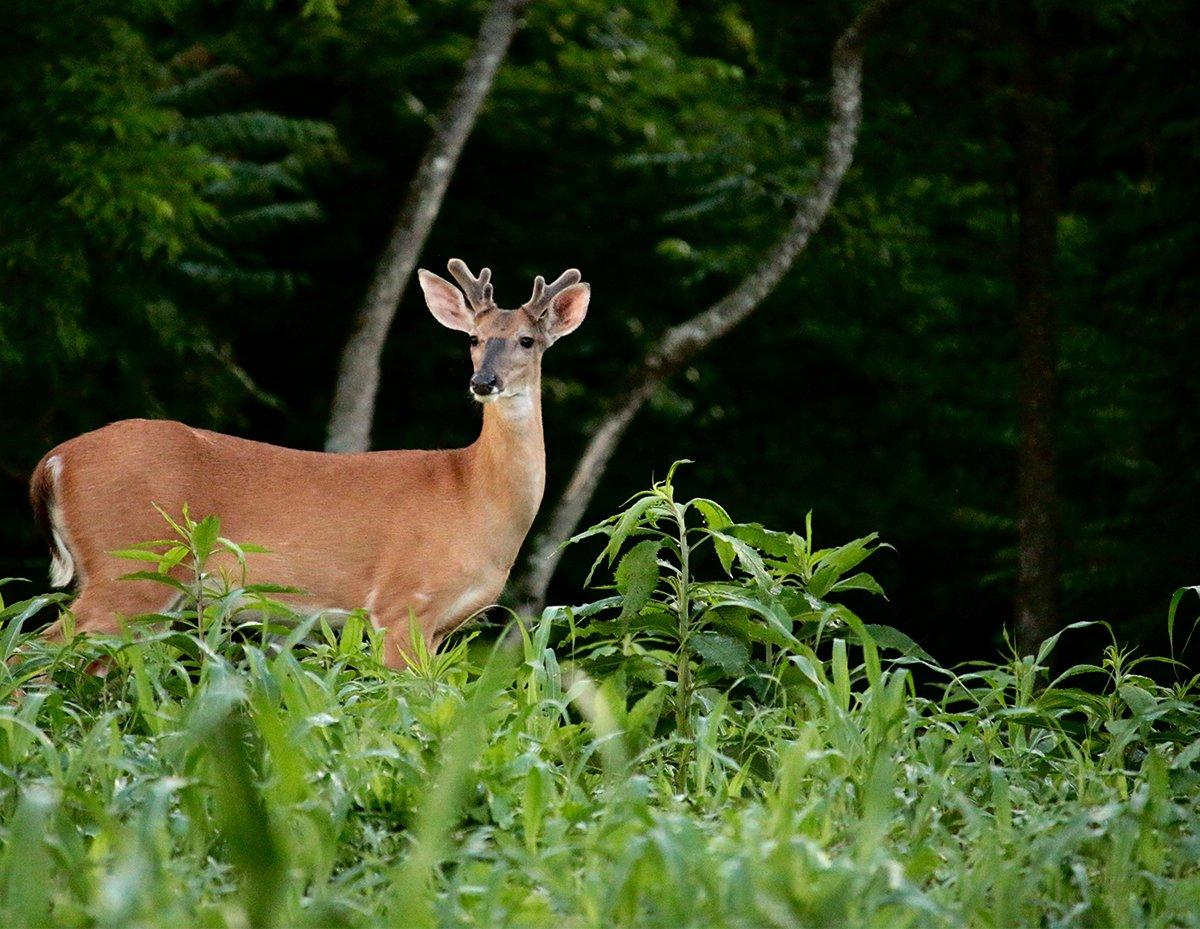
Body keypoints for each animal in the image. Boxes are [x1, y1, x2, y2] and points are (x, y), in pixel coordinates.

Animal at [28, 260, 590, 667]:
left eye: (526, 340)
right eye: (473, 338)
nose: (483, 382)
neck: (472, 493)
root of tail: (54, 461)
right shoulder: (401, 600)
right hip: (131, 564)